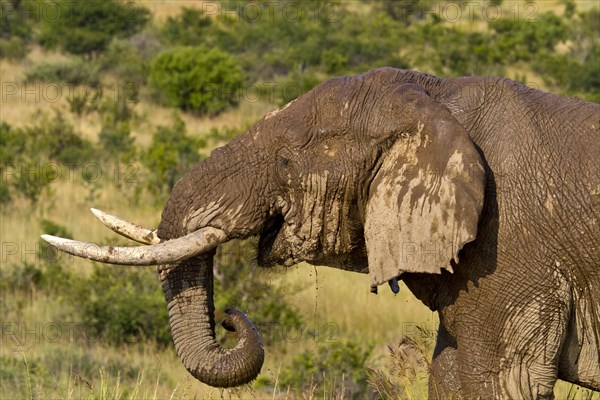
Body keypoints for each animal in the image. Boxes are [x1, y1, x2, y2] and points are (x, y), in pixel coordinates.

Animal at [43, 67, 600, 398]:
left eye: (287, 162)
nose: (229, 318)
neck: (437, 97)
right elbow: (449, 374)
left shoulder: (513, 251)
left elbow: (500, 382)